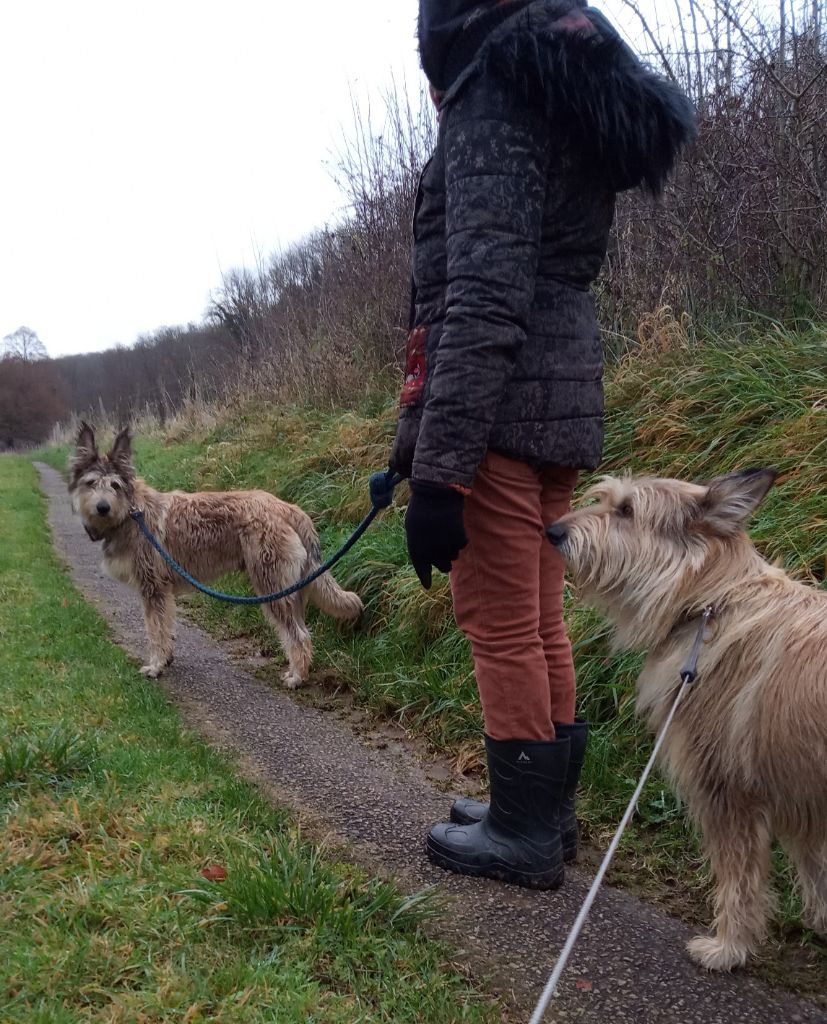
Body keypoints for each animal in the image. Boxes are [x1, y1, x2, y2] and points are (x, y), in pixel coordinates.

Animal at [65, 423, 362, 688]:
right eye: (91, 483)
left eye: (115, 485)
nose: (102, 507)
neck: (130, 512)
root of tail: (288, 508)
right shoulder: (163, 592)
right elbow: (166, 628)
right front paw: (166, 659)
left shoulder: (153, 589)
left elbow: (154, 630)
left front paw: (155, 666)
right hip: (289, 590)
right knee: (301, 631)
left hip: (272, 586)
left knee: (298, 636)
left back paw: (297, 678)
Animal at [548, 468, 827, 970]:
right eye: (606, 499)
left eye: (627, 511)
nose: (553, 531)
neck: (712, 602)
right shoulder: (800, 794)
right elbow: (816, 869)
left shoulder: (728, 791)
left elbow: (740, 879)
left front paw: (729, 947)